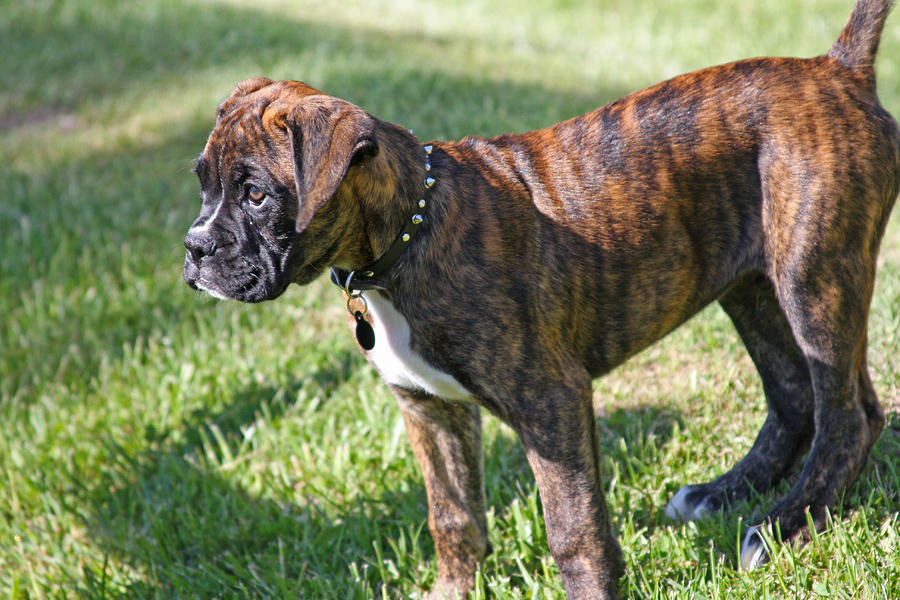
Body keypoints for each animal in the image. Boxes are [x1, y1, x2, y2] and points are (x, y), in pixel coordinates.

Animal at [185, 1, 900, 600]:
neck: (409, 233)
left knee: (849, 413)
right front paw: (452, 592)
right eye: (203, 185)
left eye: (255, 194)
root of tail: (837, 69)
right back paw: (724, 496)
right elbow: (453, 518)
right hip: (750, 286)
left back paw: (785, 525)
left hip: (813, 277)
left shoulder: (551, 402)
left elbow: (574, 531)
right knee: (794, 395)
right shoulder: (429, 410)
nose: (194, 250)